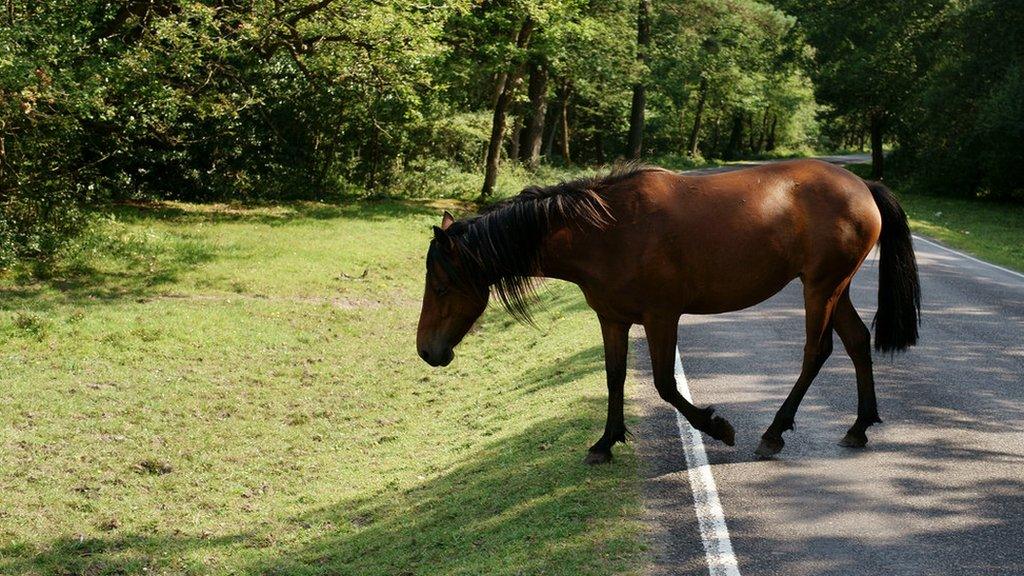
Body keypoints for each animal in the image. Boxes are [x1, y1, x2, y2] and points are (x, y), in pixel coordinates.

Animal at [415, 159, 921, 457]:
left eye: (440, 285)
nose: (427, 352)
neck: (607, 230)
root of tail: (863, 185)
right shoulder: (613, 319)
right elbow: (614, 377)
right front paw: (606, 442)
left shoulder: (661, 318)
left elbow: (664, 385)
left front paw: (717, 427)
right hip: (836, 287)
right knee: (857, 343)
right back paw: (859, 427)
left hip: (821, 288)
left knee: (816, 353)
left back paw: (774, 433)